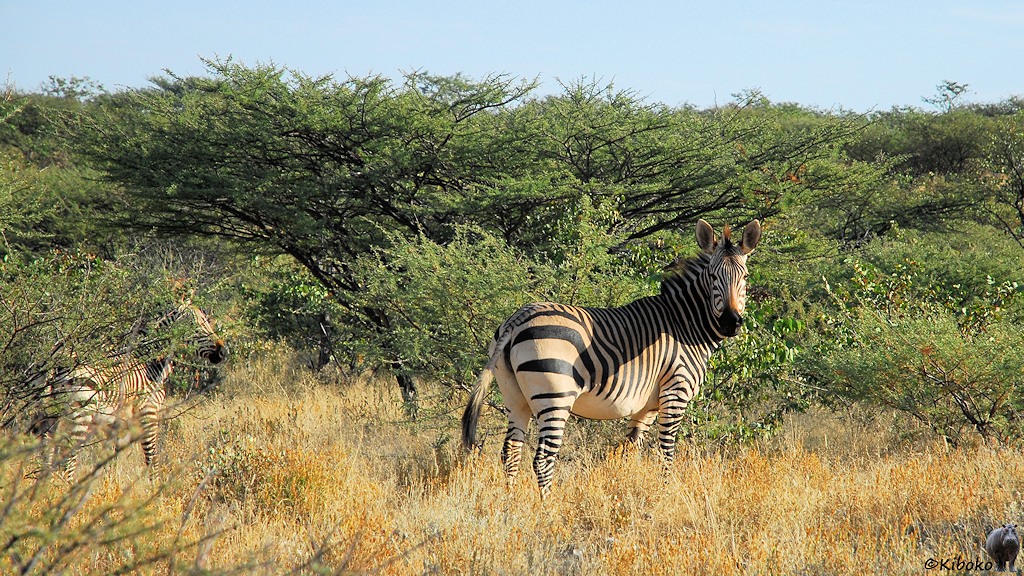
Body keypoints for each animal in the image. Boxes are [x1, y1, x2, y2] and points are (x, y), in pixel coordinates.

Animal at [43, 300, 228, 479]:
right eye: (196, 327)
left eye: (207, 322)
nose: (223, 352)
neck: (151, 365)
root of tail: (58, 363)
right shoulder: (148, 413)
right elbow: (152, 458)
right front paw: (155, 486)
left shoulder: (114, 424)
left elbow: (112, 461)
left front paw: (110, 484)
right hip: (81, 415)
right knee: (67, 458)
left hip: (48, 416)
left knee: (47, 453)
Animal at [462, 218, 761, 498]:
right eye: (712, 276)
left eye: (745, 277)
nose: (730, 323)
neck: (684, 325)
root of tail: (518, 317)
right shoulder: (675, 393)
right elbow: (666, 453)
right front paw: (665, 492)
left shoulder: (645, 407)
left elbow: (630, 451)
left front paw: (631, 492)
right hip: (554, 397)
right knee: (543, 459)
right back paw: (547, 506)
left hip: (515, 396)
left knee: (510, 452)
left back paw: (510, 502)